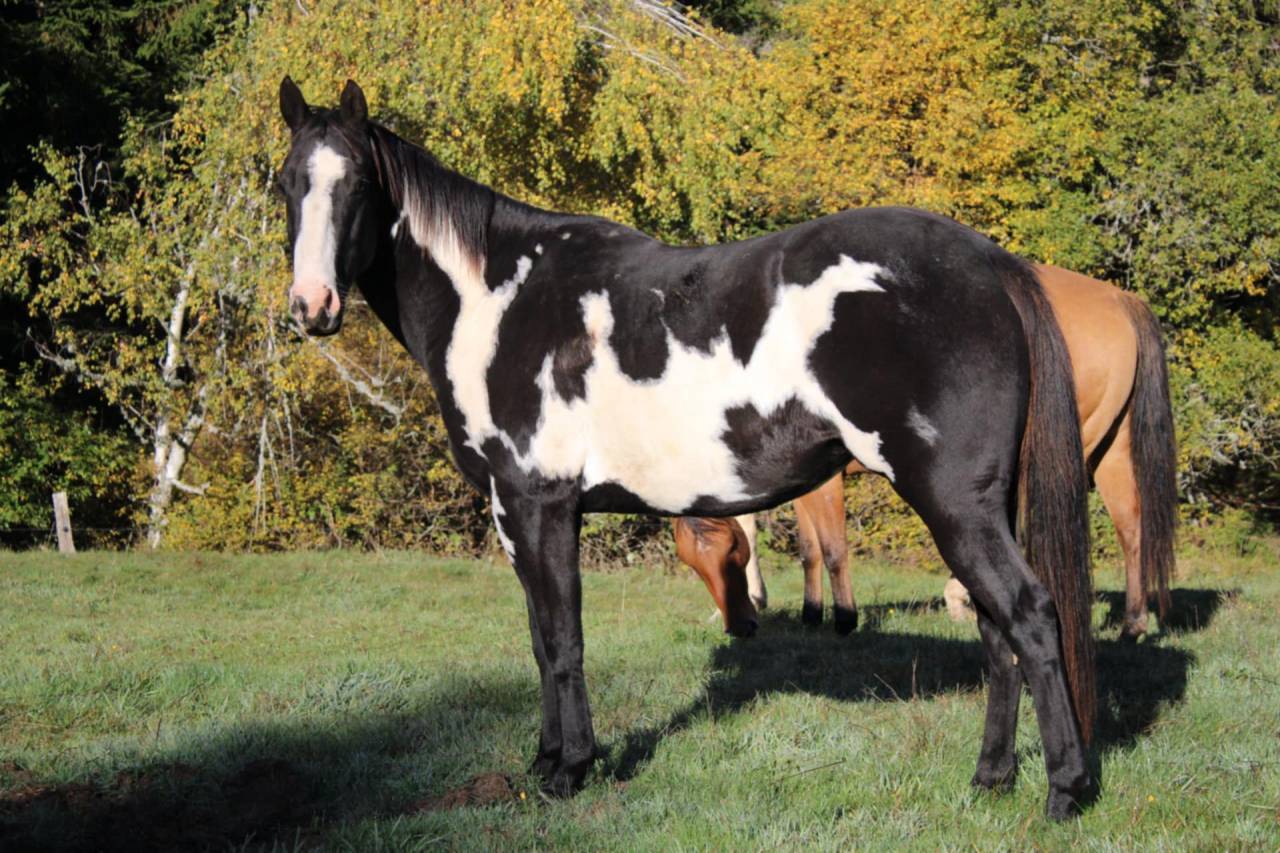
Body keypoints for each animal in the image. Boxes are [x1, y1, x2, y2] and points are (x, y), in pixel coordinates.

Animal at [276, 77, 1096, 818]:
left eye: (357, 185)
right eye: (286, 184)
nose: (312, 306)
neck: (499, 303)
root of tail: (989, 263)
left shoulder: (539, 505)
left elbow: (563, 640)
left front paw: (571, 769)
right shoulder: (519, 517)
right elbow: (541, 639)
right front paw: (544, 762)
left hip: (953, 500)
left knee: (1029, 615)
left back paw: (1062, 791)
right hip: (977, 507)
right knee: (995, 629)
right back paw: (989, 780)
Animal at [678, 265, 1177, 640]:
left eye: (729, 555)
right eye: (691, 561)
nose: (736, 625)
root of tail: (1119, 299)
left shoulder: (825, 482)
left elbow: (833, 548)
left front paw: (842, 619)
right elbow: (808, 549)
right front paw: (809, 612)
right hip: (1110, 448)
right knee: (1131, 526)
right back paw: (1134, 623)